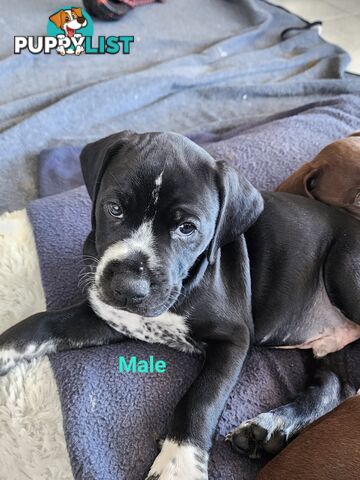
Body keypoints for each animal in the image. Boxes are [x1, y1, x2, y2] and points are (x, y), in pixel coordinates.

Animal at [2, 131, 360, 480]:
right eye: (114, 208)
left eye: (187, 228)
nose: (128, 288)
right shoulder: (108, 316)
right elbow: (41, 323)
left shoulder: (233, 339)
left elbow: (200, 399)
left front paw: (178, 463)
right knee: (331, 386)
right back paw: (270, 429)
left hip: (343, 268)